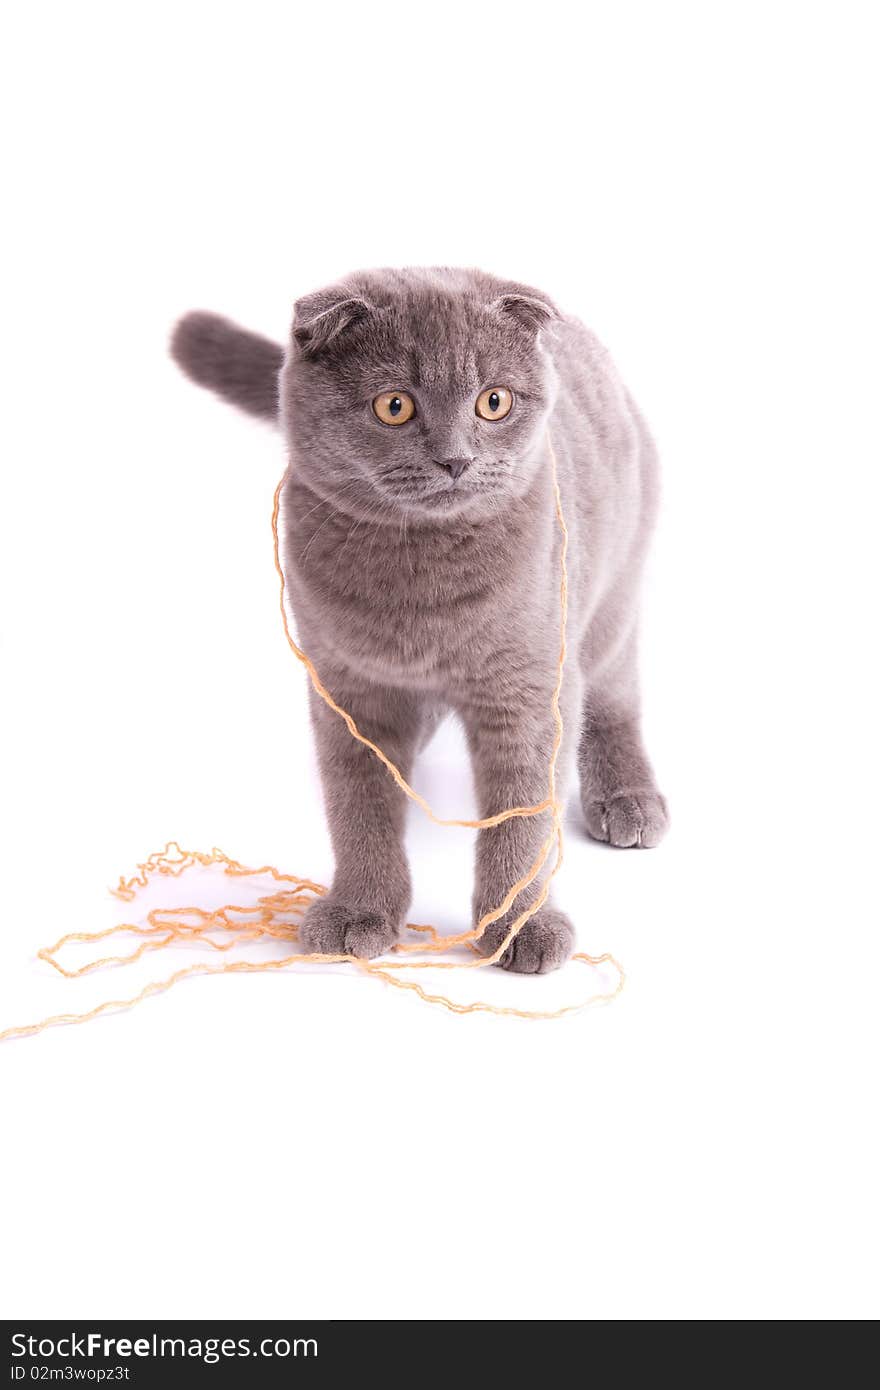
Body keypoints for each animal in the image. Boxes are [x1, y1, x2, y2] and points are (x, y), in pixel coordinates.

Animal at [171, 265, 664, 973]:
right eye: (394, 406)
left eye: (493, 402)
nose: (456, 459)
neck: (421, 592)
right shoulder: (348, 689)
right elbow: (359, 806)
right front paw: (360, 912)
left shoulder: (529, 689)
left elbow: (523, 816)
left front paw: (519, 927)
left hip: (612, 598)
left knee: (615, 700)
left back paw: (627, 801)